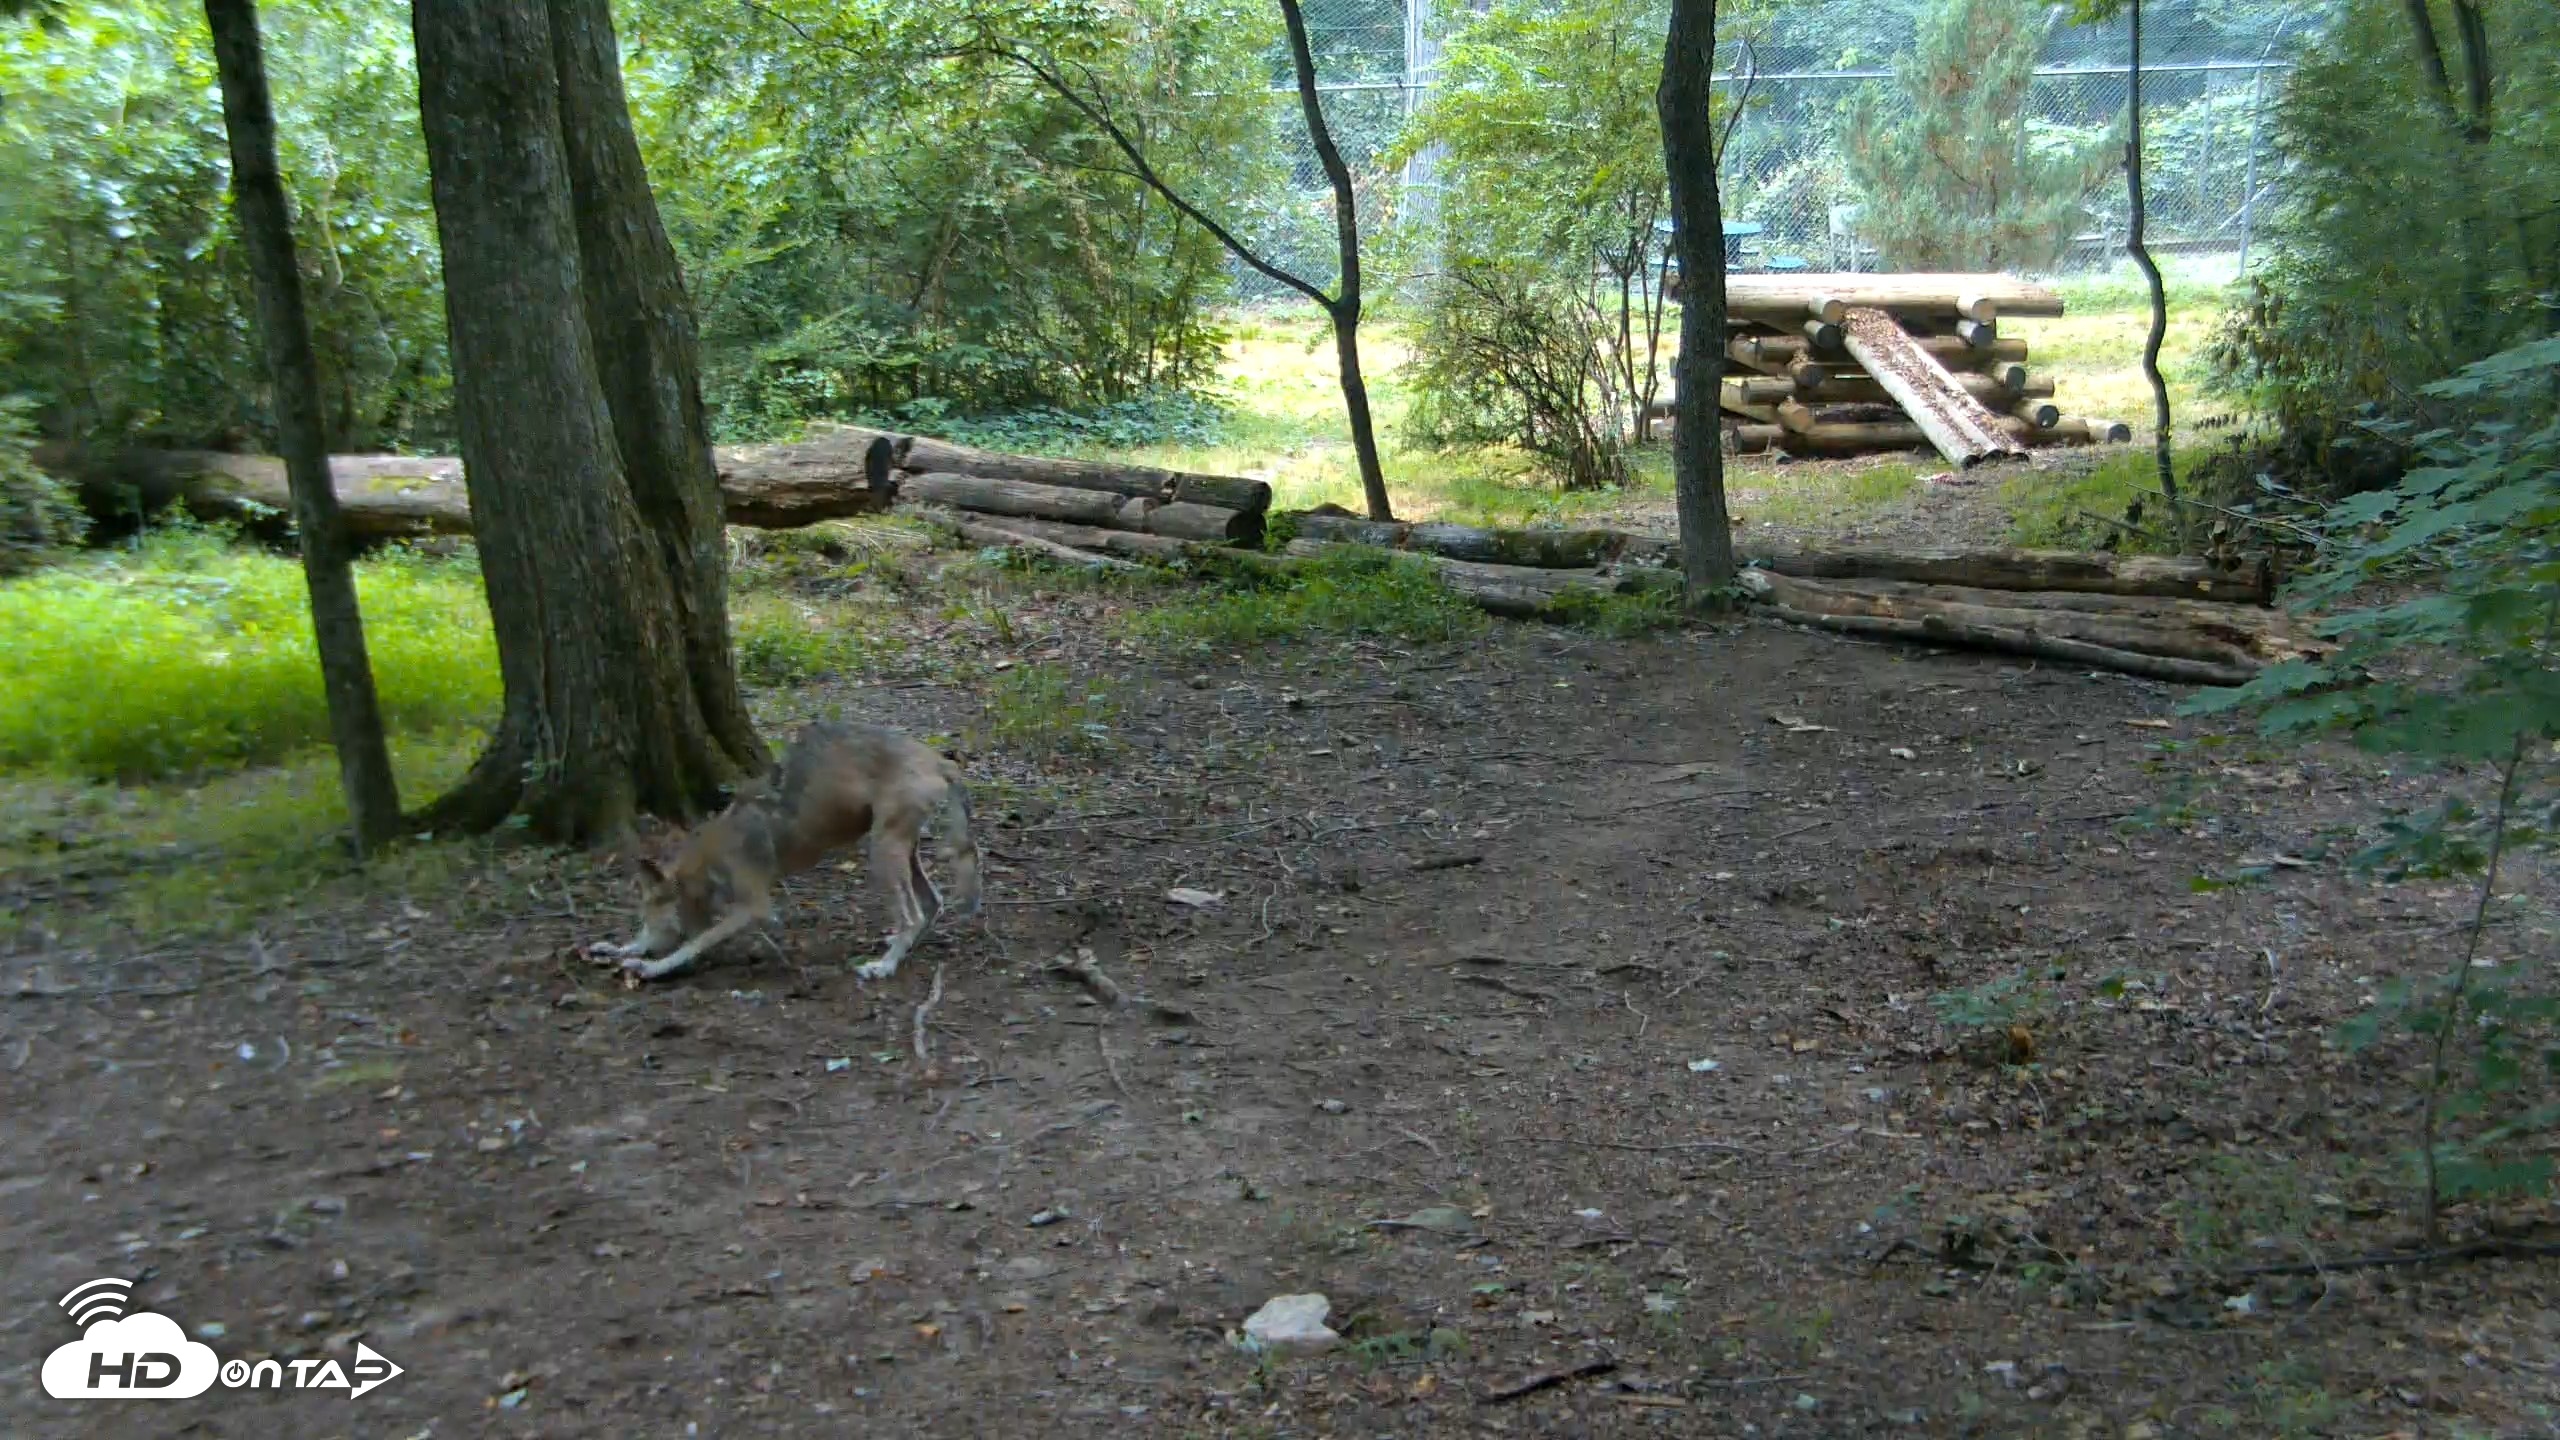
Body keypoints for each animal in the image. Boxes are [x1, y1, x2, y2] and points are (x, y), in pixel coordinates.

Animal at [601, 722, 982, 983]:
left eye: (647, 911)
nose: (644, 938)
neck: (708, 859)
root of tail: (939, 761)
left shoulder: (755, 908)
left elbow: (692, 945)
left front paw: (651, 967)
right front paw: (621, 949)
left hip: (883, 853)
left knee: (913, 914)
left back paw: (885, 966)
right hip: (901, 852)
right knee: (932, 903)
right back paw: (902, 949)